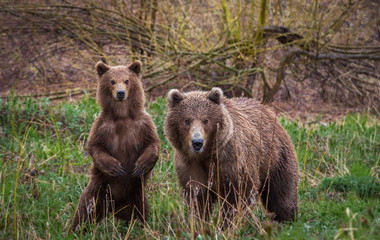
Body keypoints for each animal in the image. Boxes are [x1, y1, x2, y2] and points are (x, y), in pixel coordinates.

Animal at [71, 60, 159, 232]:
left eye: (127, 80)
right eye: (112, 81)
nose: (120, 93)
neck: (122, 115)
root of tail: (114, 207)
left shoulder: (143, 124)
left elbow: (153, 143)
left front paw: (141, 165)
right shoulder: (102, 127)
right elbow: (95, 147)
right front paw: (115, 167)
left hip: (136, 195)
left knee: (141, 212)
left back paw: (141, 228)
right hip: (98, 191)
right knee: (84, 210)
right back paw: (75, 229)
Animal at [163, 87, 300, 224]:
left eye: (206, 120)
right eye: (187, 120)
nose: (197, 142)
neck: (206, 155)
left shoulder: (232, 160)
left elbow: (238, 194)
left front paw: (228, 221)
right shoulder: (190, 164)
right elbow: (197, 195)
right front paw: (199, 221)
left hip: (275, 157)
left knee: (281, 192)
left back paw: (285, 219)